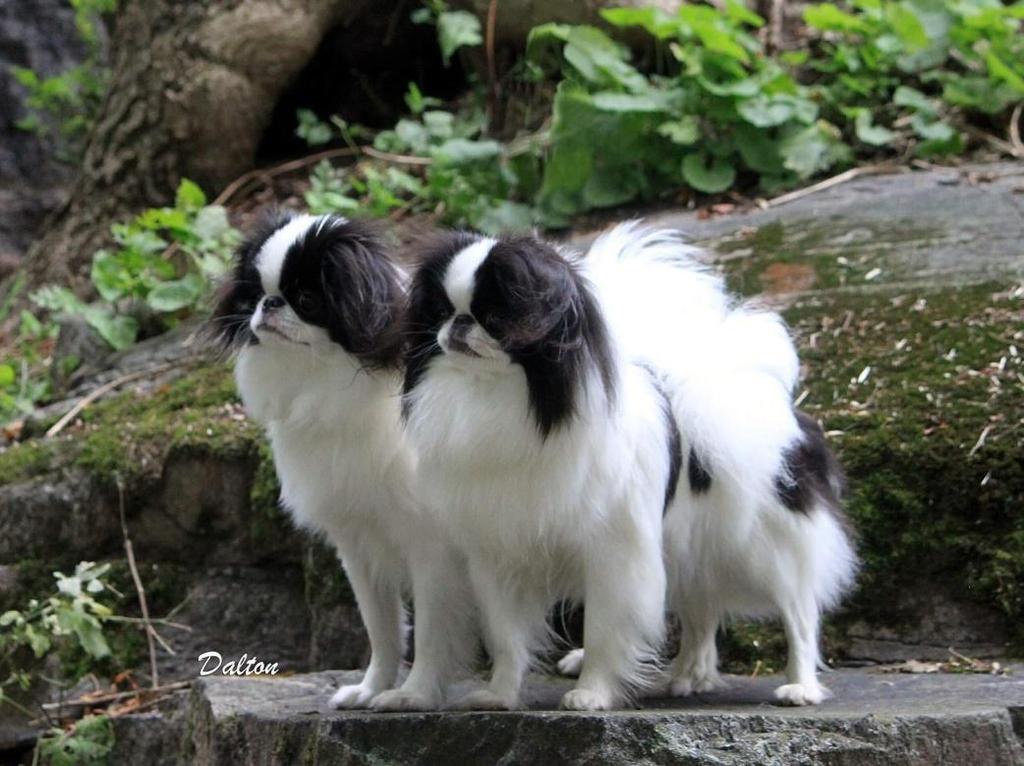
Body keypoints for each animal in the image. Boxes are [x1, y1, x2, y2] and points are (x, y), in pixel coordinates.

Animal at [204, 210, 475, 712]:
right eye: (255, 293)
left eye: (308, 300)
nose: (269, 304)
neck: (322, 383)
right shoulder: (358, 544)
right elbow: (382, 628)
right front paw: (371, 689)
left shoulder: (432, 549)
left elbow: (432, 631)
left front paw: (414, 695)